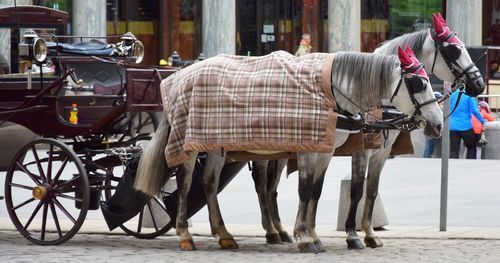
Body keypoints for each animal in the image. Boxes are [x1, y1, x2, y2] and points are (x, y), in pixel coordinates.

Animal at [132, 47, 442, 254]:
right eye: (418, 82)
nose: (438, 124)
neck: (329, 91)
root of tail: (182, 74)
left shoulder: (325, 150)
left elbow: (316, 191)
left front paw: (313, 234)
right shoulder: (309, 149)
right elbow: (306, 190)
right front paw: (306, 237)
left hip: (216, 145)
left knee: (209, 183)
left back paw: (224, 233)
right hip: (190, 145)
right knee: (185, 183)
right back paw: (185, 233)